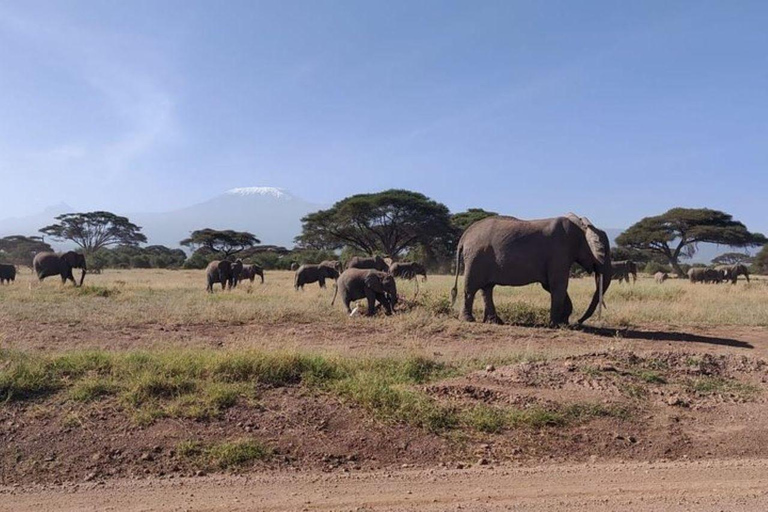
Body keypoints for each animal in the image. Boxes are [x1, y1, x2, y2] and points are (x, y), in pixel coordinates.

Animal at [450, 214, 612, 326]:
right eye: (603, 251)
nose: (578, 321)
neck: (580, 227)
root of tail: (464, 236)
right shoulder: (559, 253)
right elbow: (558, 285)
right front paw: (556, 325)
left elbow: (550, 286)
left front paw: (563, 322)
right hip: (476, 257)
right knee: (472, 288)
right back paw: (469, 320)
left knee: (487, 289)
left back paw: (495, 321)